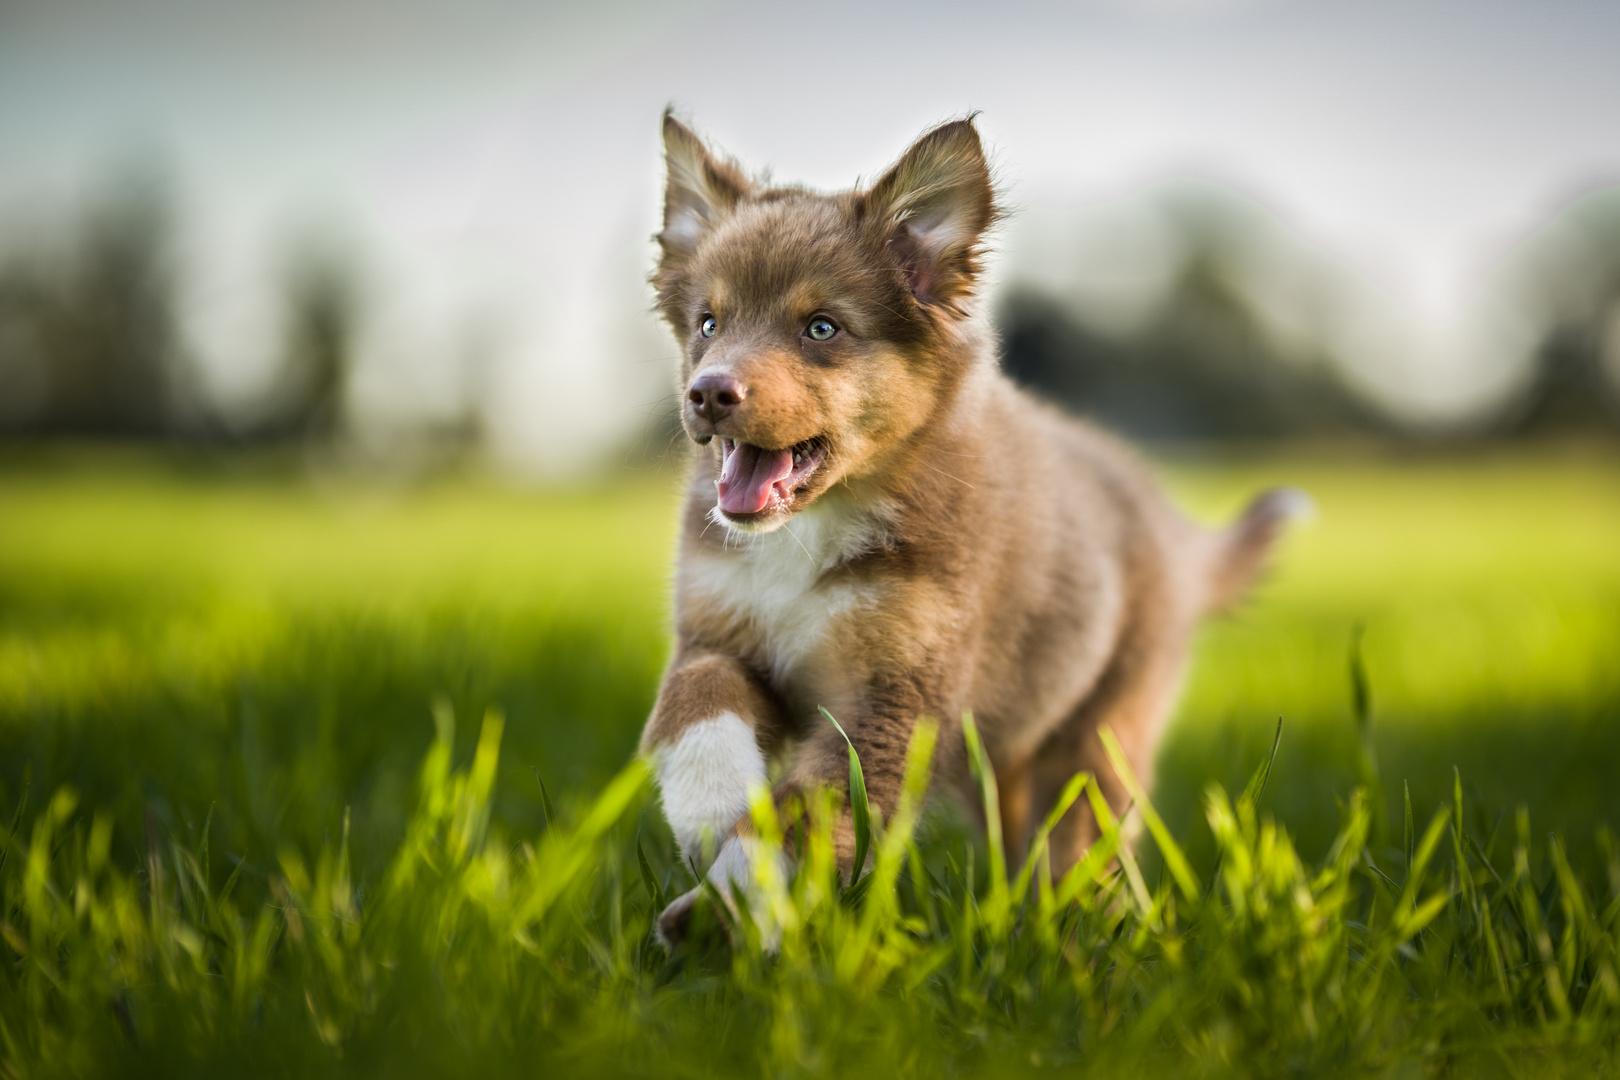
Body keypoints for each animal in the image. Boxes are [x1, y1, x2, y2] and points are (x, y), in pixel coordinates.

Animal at [635, 114, 1302, 945]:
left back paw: (1083, 930)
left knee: (1083, 841)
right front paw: (715, 807)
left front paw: (735, 899)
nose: (708, 393)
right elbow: (692, 700)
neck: (814, 531)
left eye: (821, 328)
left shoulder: (898, 700)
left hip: (1099, 731)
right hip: (1006, 747)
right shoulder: (718, 628)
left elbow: (809, 812)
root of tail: (1168, 524)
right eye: (708, 323)